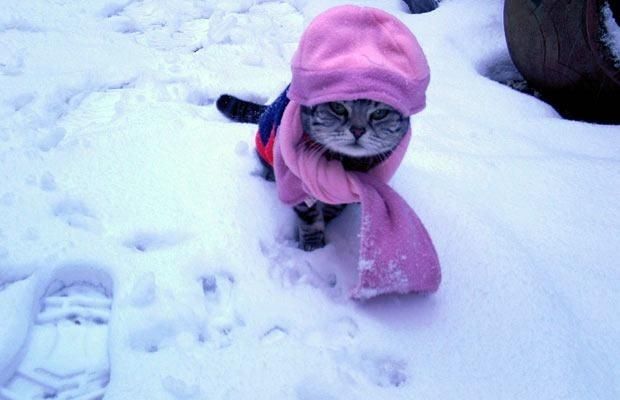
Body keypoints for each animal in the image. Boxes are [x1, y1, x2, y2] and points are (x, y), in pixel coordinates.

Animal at [216, 93, 410, 250]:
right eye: (337, 107)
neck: (345, 162)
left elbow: (333, 208)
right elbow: (310, 218)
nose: (357, 130)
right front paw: (313, 244)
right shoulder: (297, 180)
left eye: (380, 113)